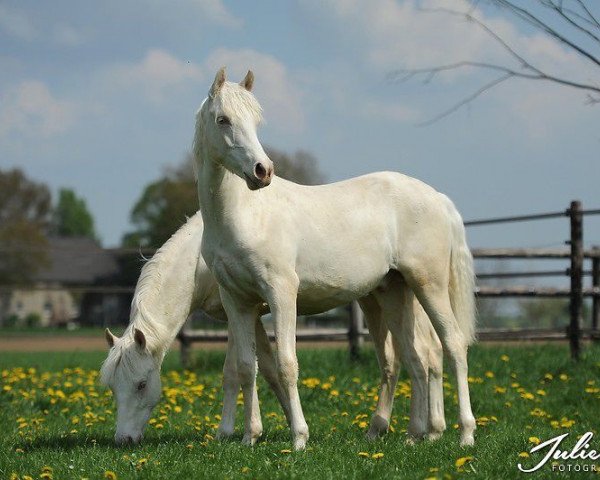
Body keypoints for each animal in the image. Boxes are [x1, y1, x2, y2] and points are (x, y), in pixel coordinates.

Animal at [98, 212, 446, 444]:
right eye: (113, 387)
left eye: (142, 384)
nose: (123, 440)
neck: (200, 263)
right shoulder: (248, 314)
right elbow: (263, 368)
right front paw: (285, 424)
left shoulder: (243, 312)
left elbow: (234, 372)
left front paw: (228, 432)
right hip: (374, 300)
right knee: (396, 360)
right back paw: (383, 429)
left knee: (429, 353)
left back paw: (431, 430)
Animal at [195, 68, 476, 450]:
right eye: (223, 120)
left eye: (256, 121)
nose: (262, 171)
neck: (245, 215)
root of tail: (438, 198)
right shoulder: (238, 302)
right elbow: (244, 367)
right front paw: (249, 438)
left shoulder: (281, 293)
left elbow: (287, 364)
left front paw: (299, 439)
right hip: (395, 292)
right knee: (415, 357)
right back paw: (415, 436)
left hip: (428, 286)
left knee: (453, 345)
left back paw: (465, 434)